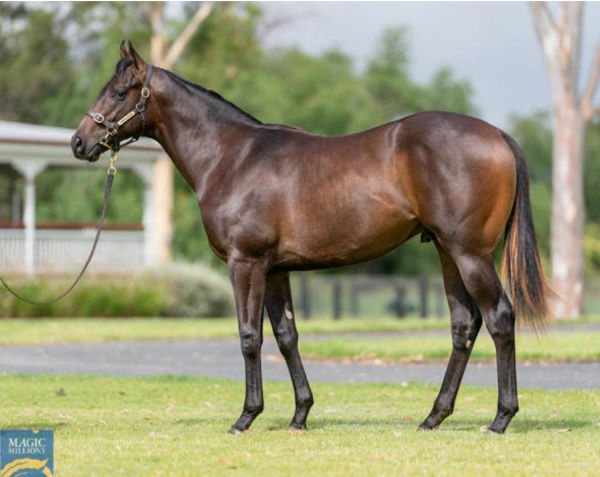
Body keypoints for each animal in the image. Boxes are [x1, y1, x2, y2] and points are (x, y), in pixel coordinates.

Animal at [72, 44, 552, 436]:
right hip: (446, 251)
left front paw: (246, 417)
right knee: (464, 325)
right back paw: (434, 416)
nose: (80, 142)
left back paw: (500, 418)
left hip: (470, 254)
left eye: (119, 92)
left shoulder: (245, 262)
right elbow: (286, 336)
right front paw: (300, 414)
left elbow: (249, 336)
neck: (231, 157)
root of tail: (499, 136)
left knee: (499, 318)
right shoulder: (276, 269)